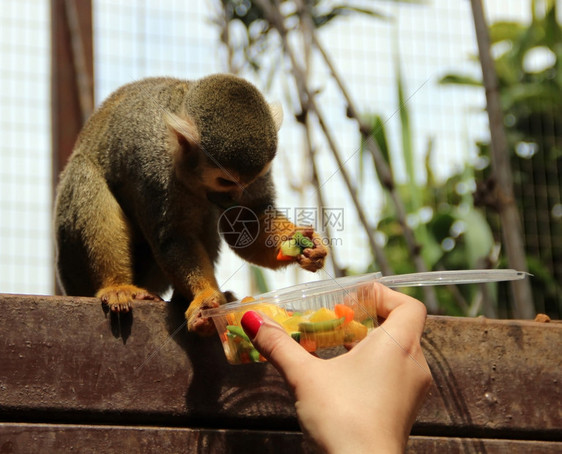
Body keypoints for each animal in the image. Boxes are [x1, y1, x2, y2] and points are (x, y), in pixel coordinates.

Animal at [54, 74, 326, 336]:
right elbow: (174, 237)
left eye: (249, 181)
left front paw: (303, 244)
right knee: (83, 171)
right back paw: (117, 286)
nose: (234, 195)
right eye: (225, 181)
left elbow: (246, 223)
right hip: (72, 266)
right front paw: (205, 297)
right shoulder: (154, 169)